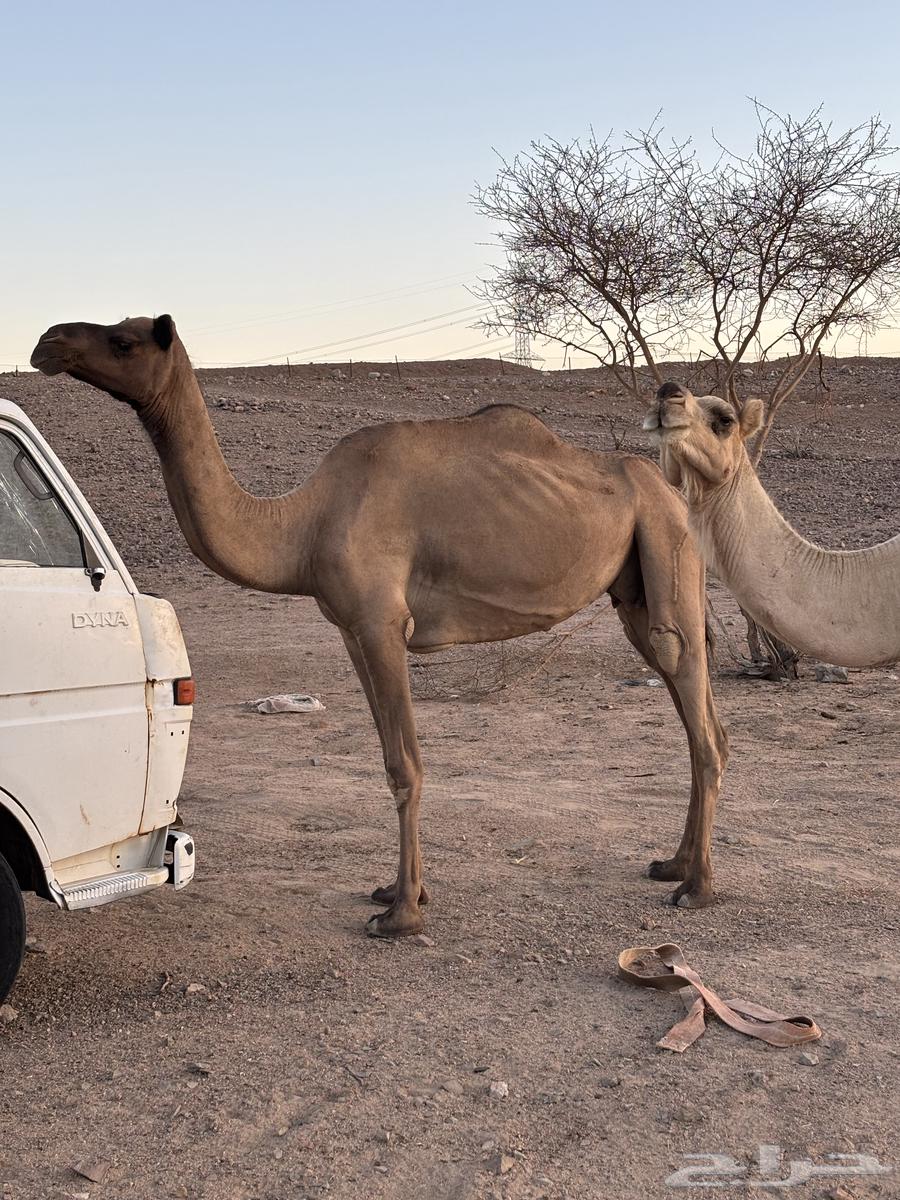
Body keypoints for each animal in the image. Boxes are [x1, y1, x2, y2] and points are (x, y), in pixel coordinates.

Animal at [31, 315, 729, 930]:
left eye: (123, 340)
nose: (47, 341)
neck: (302, 525)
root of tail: (672, 492)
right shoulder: (350, 630)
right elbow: (390, 756)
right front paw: (397, 889)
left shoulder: (381, 621)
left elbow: (405, 765)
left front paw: (401, 916)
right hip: (633, 589)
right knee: (700, 718)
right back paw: (672, 864)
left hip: (667, 545)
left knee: (696, 708)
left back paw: (697, 887)